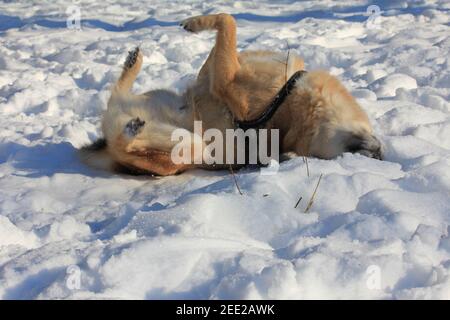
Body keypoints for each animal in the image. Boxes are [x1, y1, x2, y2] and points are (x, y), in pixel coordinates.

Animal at [80, 13, 380, 176]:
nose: (377, 153)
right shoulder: (215, 75)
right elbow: (220, 43)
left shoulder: (226, 82)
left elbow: (228, 21)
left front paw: (195, 23)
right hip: (155, 98)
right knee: (117, 93)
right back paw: (133, 64)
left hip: (188, 143)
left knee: (128, 141)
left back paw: (132, 129)